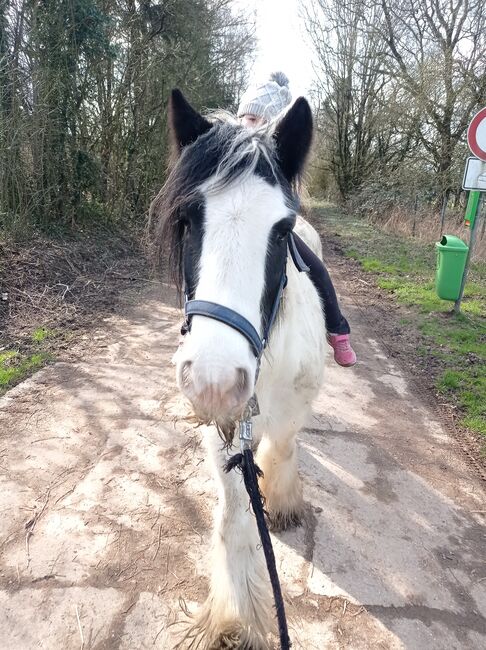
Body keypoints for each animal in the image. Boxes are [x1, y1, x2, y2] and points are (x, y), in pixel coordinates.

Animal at [150, 90, 326, 648]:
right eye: (187, 219)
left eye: (282, 229)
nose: (215, 381)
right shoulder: (221, 430)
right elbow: (234, 517)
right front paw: (235, 616)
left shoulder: (291, 409)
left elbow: (284, 446)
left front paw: (282, 500)